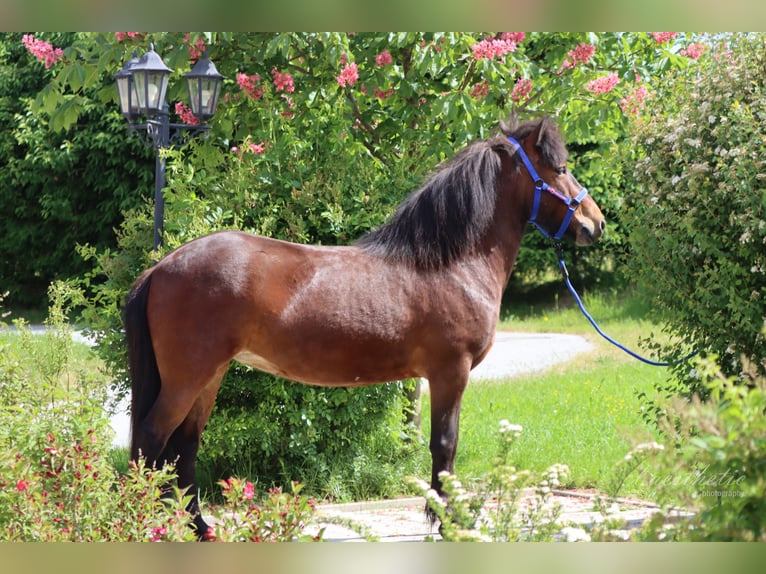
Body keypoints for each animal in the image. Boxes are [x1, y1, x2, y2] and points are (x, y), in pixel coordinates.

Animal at [124, 117, 608, 540]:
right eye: (560, 169)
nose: (596, 222)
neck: (450, 263)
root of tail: (162, 266)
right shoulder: (450, 373)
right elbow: (445, 446)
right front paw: (449, 522)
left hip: (210, 376)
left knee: (185, 446)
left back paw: (200, 528)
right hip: (188, 377)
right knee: (152, 438)